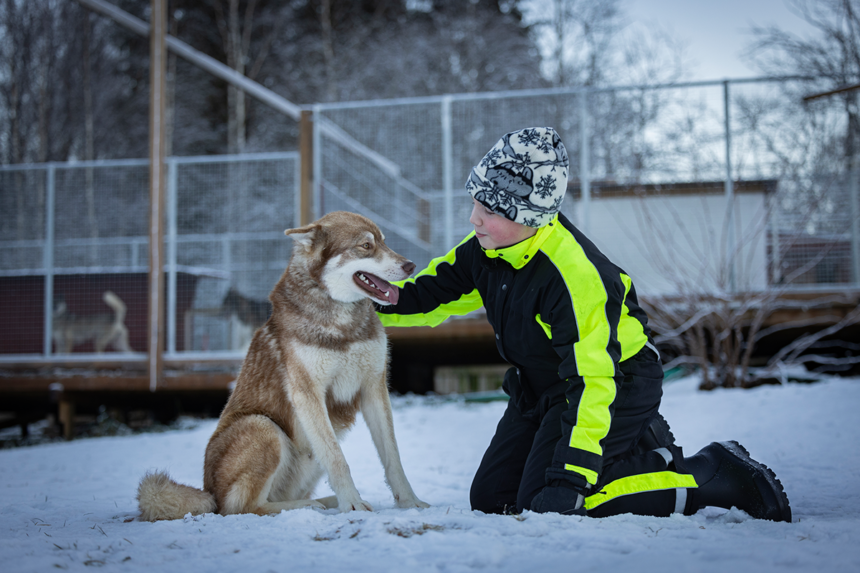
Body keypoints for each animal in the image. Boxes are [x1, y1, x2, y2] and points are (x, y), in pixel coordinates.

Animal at [139, 210, 430, 520]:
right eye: (366, 246)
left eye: (384, 242)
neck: (342, 324)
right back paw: (308, 506)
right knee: (242, 508)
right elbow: (338, 460)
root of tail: (209, 494)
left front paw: (410, 502)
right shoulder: (308, 395)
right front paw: (353, 505)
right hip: (263, 426)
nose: (410, 265)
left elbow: (393, 458)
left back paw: (325, 501)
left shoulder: (373, 388)